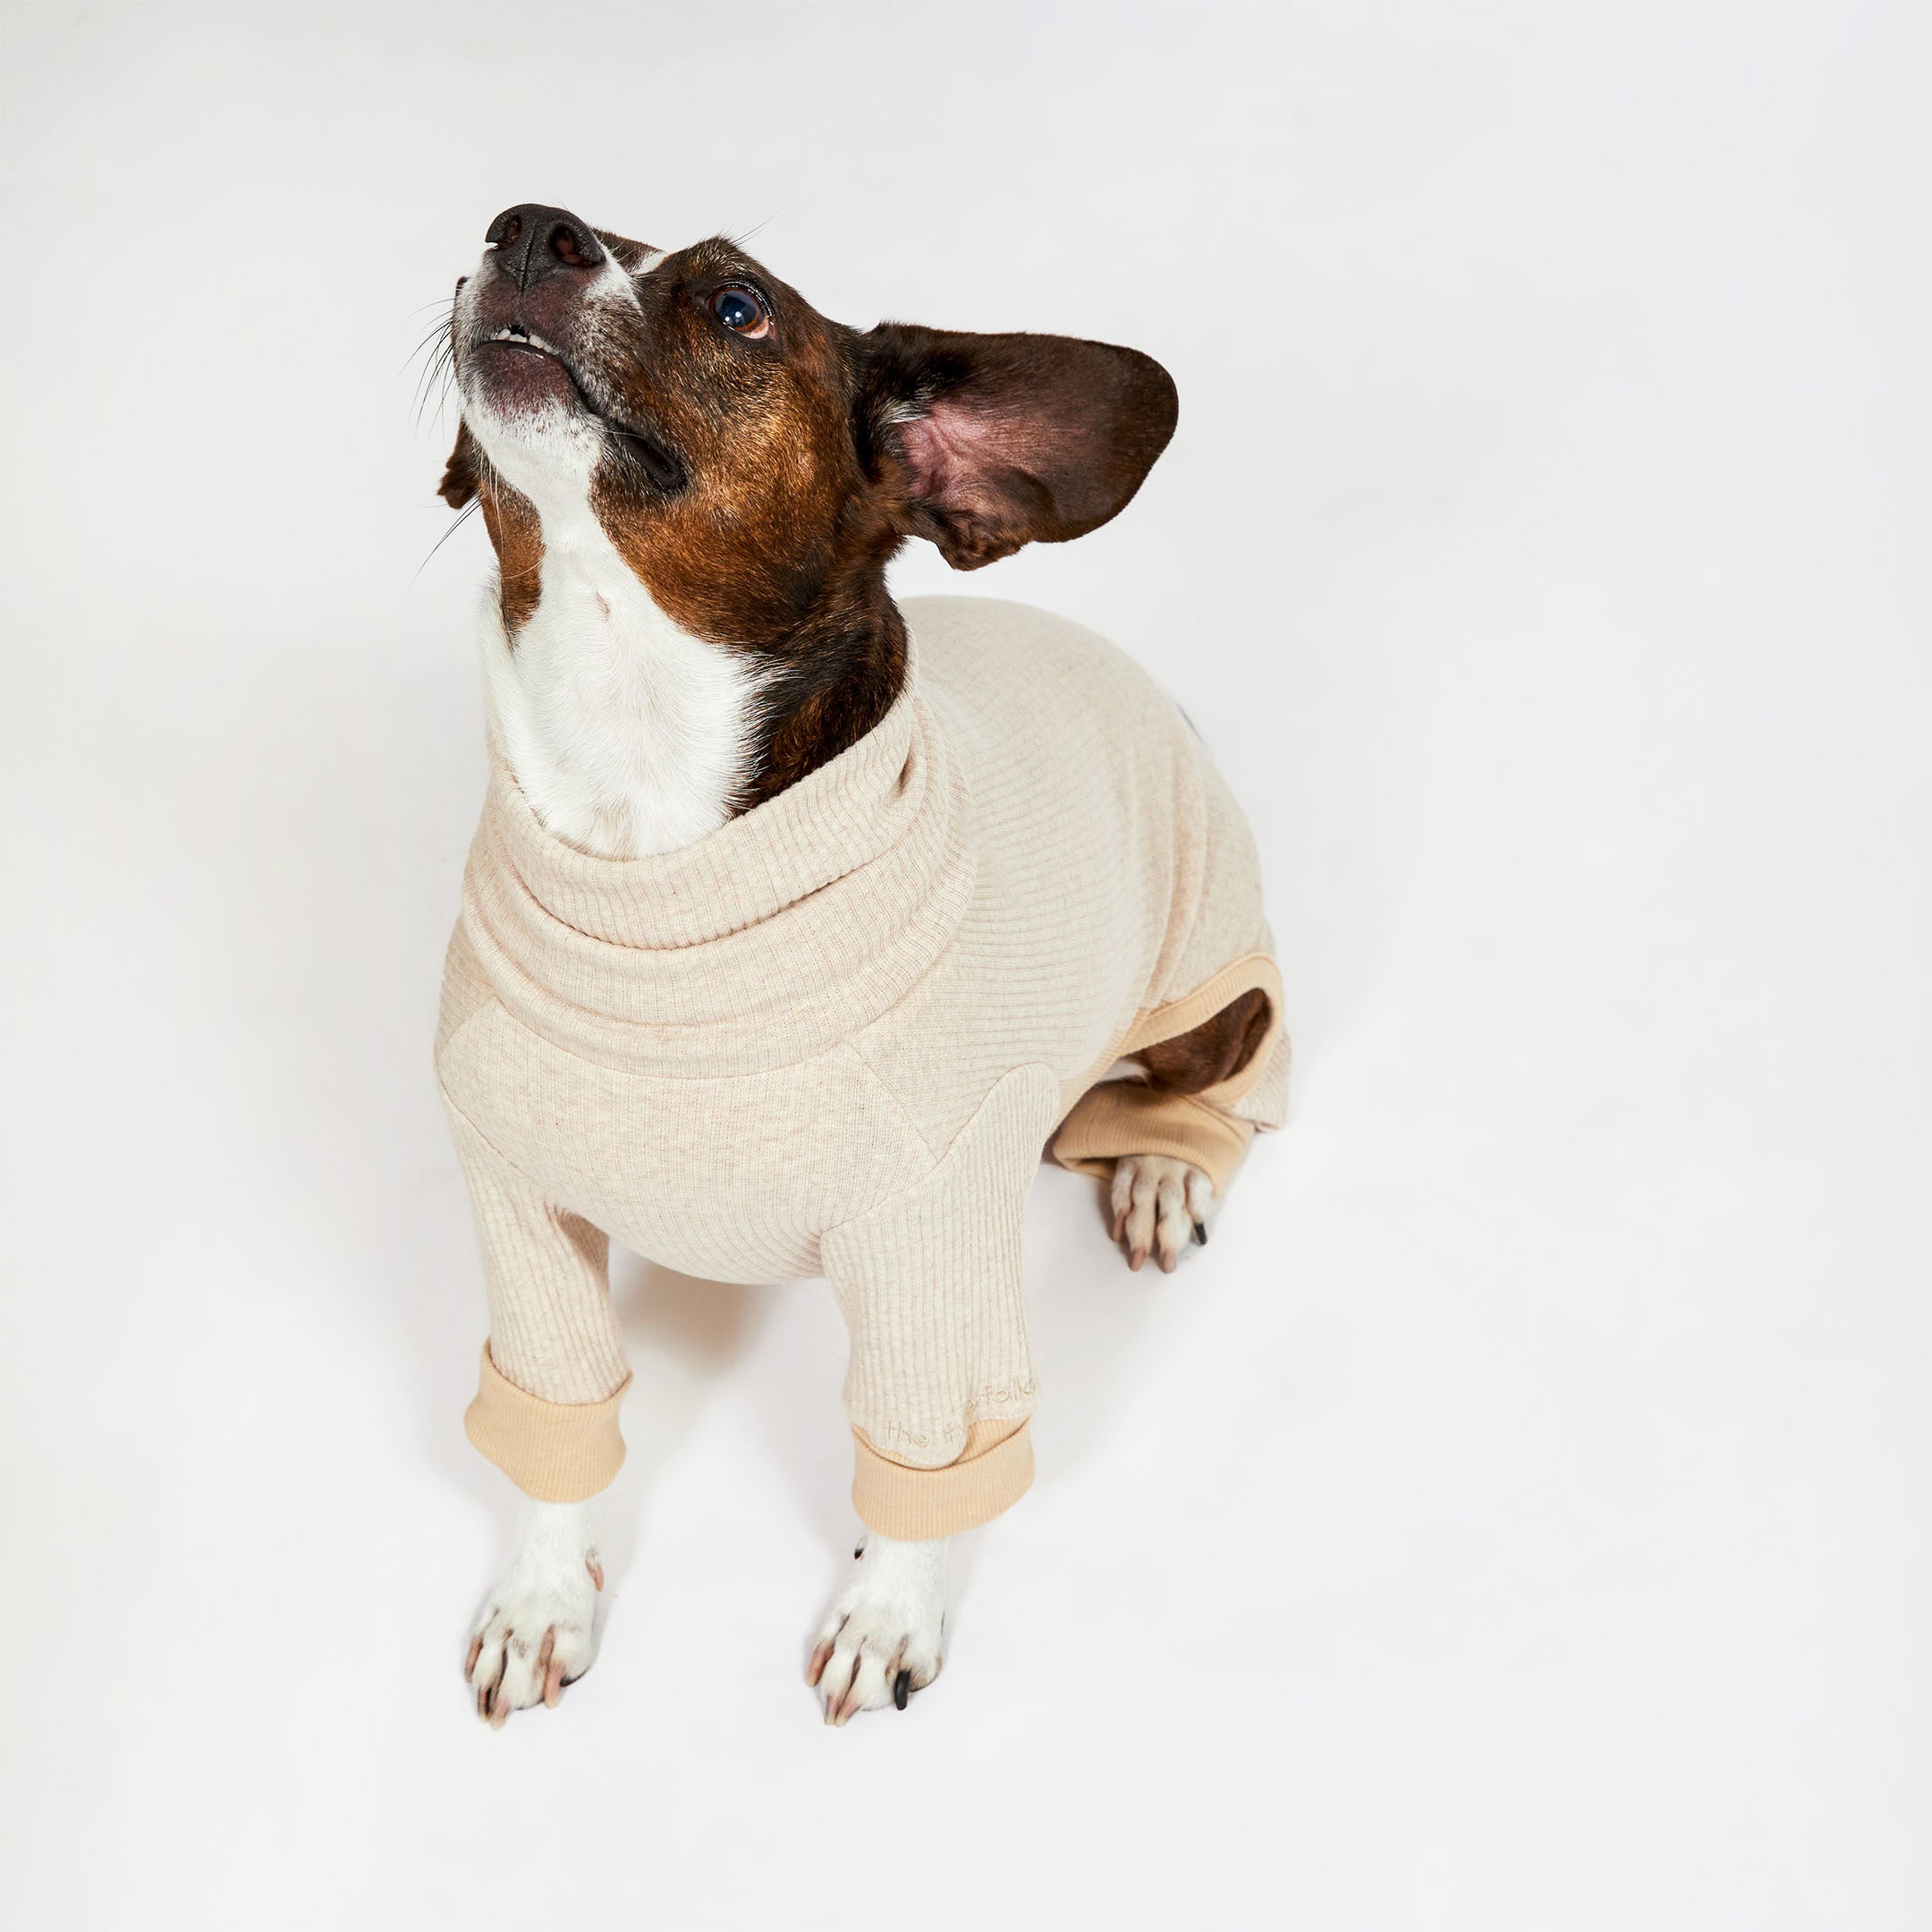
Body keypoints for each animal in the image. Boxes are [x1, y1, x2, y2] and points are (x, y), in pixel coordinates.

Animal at [435, 203, 1283, 1731]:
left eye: (738, 306)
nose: (528, 225)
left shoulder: (929, 1243)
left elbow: (922, 1462)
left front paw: (889, 1611)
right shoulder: (510, 1199)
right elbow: (555, 1413)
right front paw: (541, 1599)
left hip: (1215, 974)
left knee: (1228, 1080)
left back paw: (1160, 1167)